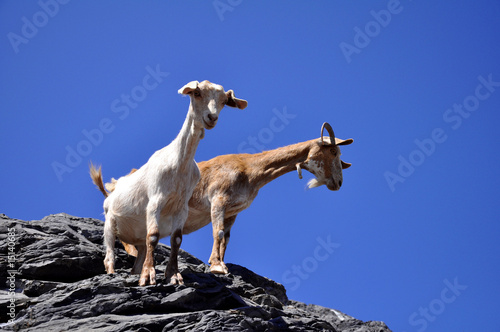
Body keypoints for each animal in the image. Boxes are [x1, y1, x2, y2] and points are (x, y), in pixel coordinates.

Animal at [91, 80, 247, 286]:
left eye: (223, 101)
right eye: (197, 93)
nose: (211, 117)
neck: (179, 164)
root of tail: (110, 193)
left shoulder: (181, 208)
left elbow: (177, 239)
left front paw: (173, 275)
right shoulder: (155, 200)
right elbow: (154, 235)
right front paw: (148, 276)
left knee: (140, 252)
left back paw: (137, 271)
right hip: (110, 222)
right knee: (109, 254)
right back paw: (112, 272)